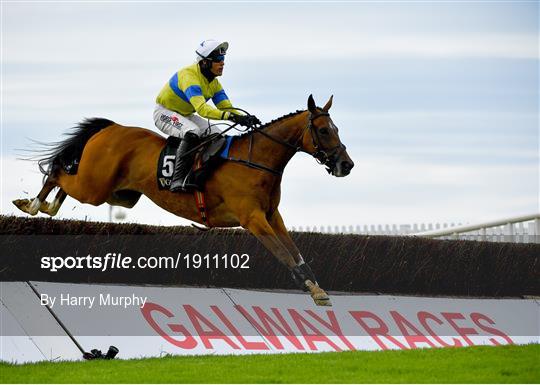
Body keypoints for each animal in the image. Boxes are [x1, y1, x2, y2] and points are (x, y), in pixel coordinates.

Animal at [12, 94, 354, 304]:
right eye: (324, 130)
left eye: (336, 127)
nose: (346, 165)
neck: (256, 160)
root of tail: (112, 128)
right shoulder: (253, 219)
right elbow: (283, 254)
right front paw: (314, 291)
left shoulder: (272, 216)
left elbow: (296, 252)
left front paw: (317, 288)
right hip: (94, 188)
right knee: (58, 172)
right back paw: (31, 204)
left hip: (117, 194)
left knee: (65, 182)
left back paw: (46, 206)